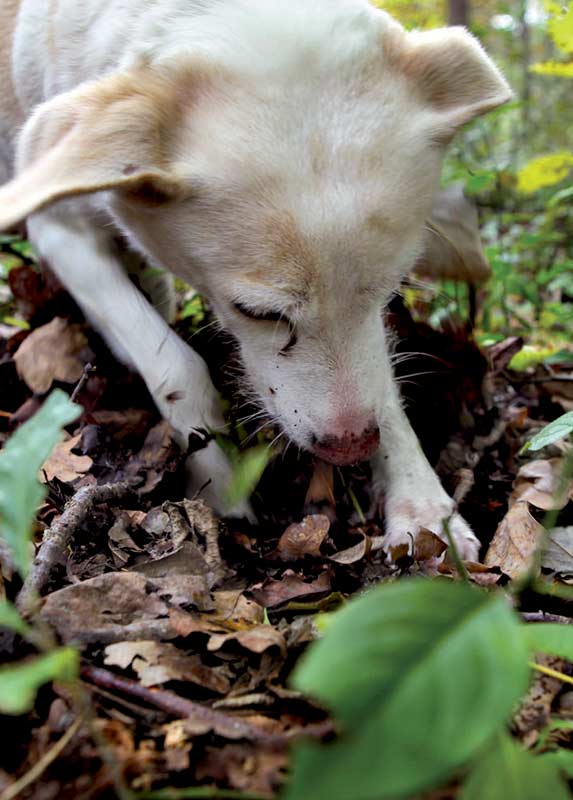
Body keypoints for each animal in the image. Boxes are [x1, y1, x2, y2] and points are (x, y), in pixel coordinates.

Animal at [0, 0, 510, 560]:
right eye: (258, 313)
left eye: (392, 290)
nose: (352, 446)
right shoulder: (58, 231)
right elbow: (175, 368)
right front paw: (217, 485)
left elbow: (381, 380)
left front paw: (421, 503)